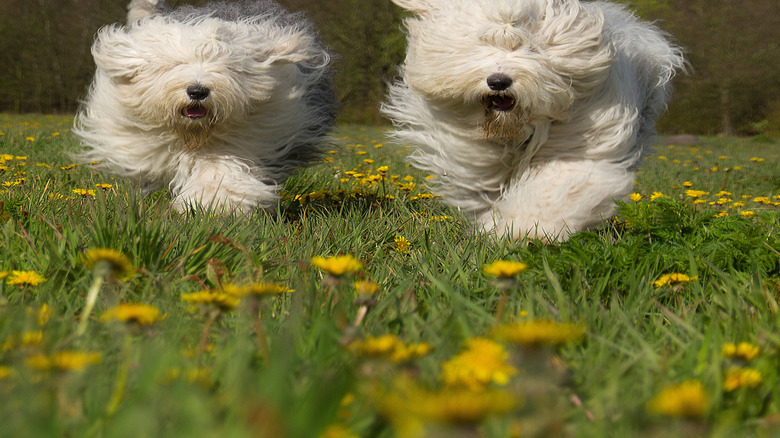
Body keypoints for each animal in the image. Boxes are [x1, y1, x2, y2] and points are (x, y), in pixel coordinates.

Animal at [74, 0, 338, 214]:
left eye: (228, 67)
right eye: (176, 64)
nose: (198, 91)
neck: (194, 133)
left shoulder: (249, 139)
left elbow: (221, 171)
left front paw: (214, 205)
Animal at [382, 0, 684, 240]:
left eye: (529, 46)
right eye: (482, 43)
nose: (499, 81)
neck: (513, 127)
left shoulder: (577, 145)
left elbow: (557, 187)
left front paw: (527, 229)